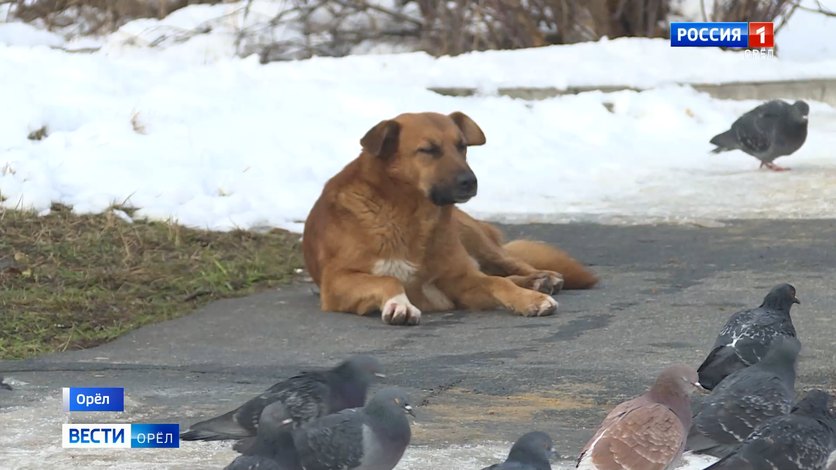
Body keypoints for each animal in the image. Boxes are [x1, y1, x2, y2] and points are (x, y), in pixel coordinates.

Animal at [304, 110, 596, 324]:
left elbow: (498, 282)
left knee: (511, 266)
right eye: (428, 150)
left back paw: (542, 279)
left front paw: (529, 300)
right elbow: (388, 279)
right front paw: (400, 304)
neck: (411, 214)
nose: (470, 181)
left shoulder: (461, 280)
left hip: (474, 237)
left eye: (462, 146)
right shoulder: (336, 282)